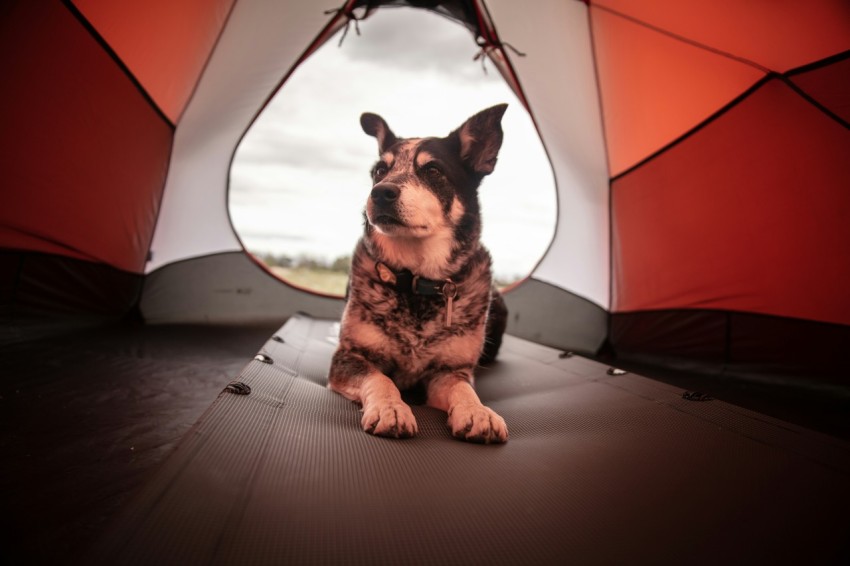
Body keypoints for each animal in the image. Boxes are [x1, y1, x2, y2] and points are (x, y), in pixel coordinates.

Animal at [328, 104, 506, 446]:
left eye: (433, 170)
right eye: (379, 171)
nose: (380, 193)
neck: (416, 281)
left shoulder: (449, 371)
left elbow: (464, 390)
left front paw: (478, 412)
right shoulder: (349, 357)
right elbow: (380, 378)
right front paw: (391, 409)